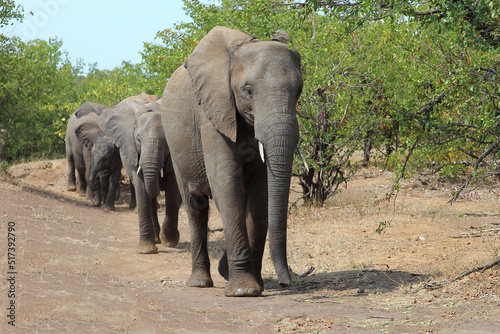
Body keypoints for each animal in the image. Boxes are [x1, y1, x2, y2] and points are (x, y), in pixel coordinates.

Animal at [105, 98, 182, 253]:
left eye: (167, 141)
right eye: (138, 140)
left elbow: (172, 190)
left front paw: (169, 242)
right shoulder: (133, 151)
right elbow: (142, 188)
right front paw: (147, 251)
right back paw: (156, 239)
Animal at [161, 26, 300, 298]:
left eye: (299, 89)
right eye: (247, 90)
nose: (285, 283)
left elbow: (261, 192)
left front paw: (255, 285)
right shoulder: (212, 112)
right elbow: (226, 182)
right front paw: (244, 291)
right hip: (176, 146)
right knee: (195, 205)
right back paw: (200, 282)